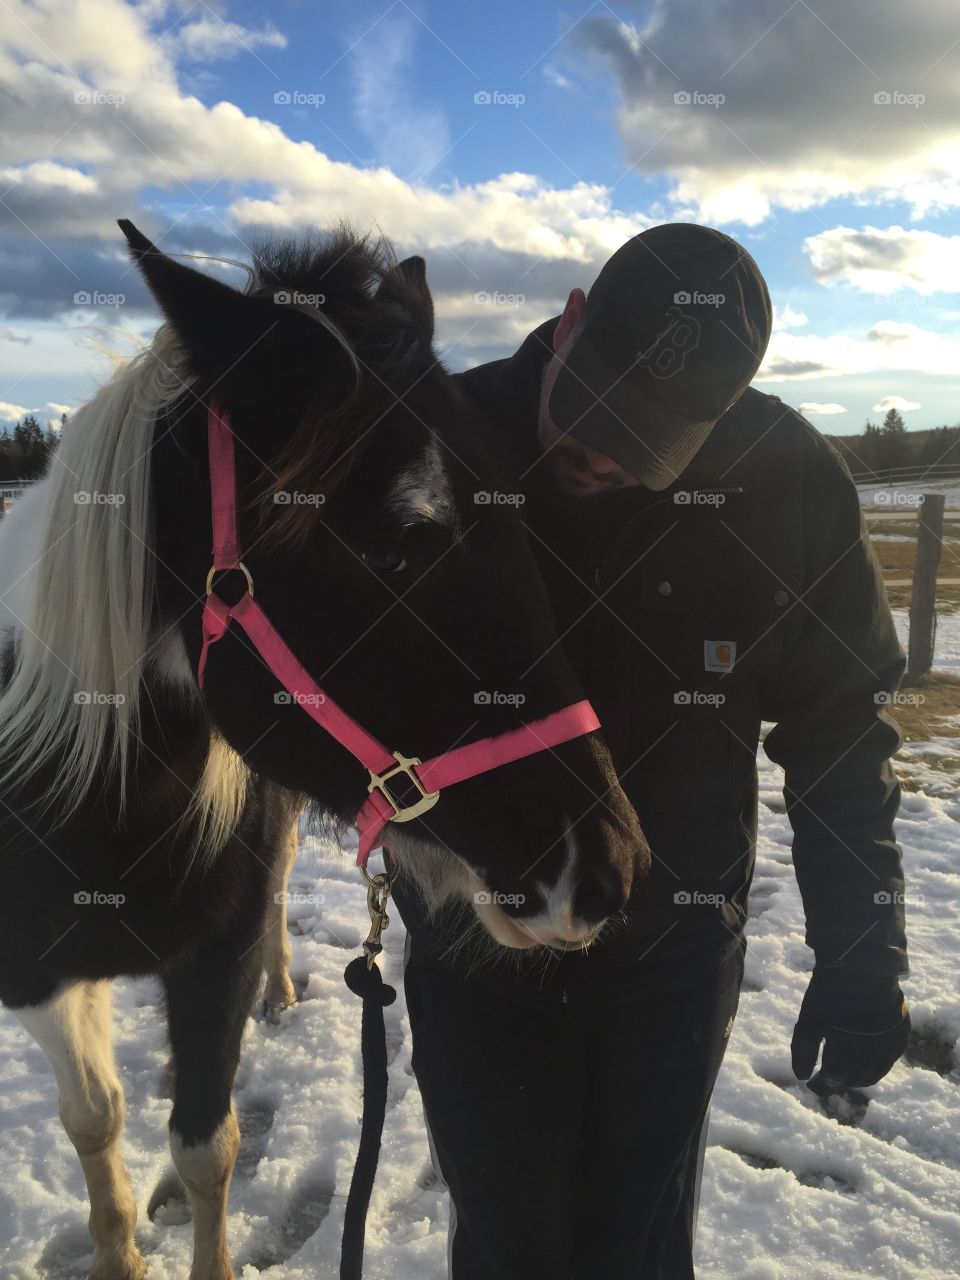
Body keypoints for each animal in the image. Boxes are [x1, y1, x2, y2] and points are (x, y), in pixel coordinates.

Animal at [0, 221, 647, 1280]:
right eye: (389, 549)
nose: (607, 871)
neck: (94, 789)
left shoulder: (212, 955)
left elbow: (207, 1142)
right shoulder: (37, 975)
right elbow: (96, 1118)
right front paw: (118, 1250)